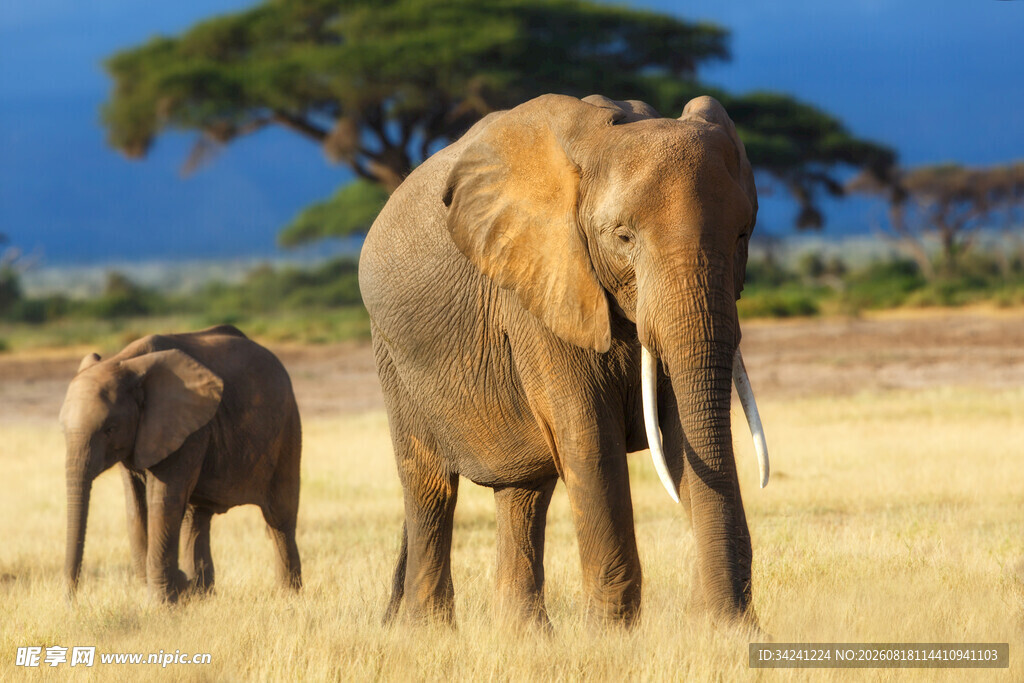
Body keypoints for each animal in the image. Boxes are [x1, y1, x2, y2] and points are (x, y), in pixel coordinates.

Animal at [60, 325, 302, 603]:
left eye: (110, 429)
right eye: (63, 430)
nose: (70, 601)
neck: (125, 362)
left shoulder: (186, 430)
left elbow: (162, 502)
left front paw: (162, 605)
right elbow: (135, 506)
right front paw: (173, 593)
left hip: (287, 427)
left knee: (279, 517)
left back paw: (289, 596)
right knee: (195, 518)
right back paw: (202, 596)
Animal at [359, 93, 769, 628]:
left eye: (743, 235)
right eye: (623, 237)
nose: (728, 615)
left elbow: (681, 429)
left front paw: (723, 628)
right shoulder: (540, 283)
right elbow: (588, 436)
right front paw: (611, 635)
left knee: (524, 492)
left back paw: (524, 635)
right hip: (393, 353)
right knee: (429, 487)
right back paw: (428, 631)